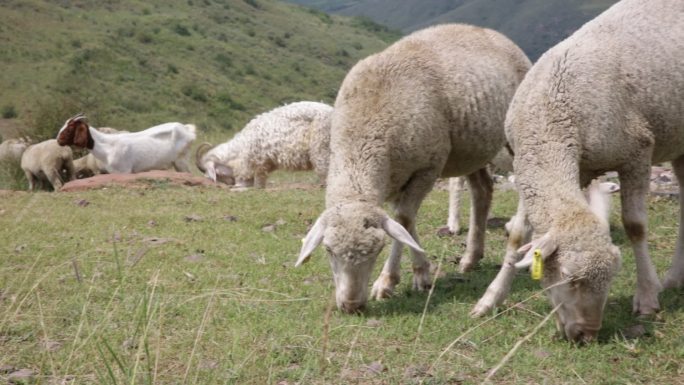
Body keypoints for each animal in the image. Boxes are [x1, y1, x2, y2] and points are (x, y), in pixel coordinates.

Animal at [195, 100, 334, 188]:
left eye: (217, 174)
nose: (230, 184)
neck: (240, 147)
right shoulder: (265, 163)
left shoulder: (255, 163)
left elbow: (253, 182)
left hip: (321, 145)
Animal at [296, 23, 532, 312]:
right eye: (329, 250)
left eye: (377, 250)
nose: (351, 305)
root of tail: (489, 31)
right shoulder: (395, 177)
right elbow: (402, 222)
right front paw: (422, 272)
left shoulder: (427, 168)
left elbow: (404, 219)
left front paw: (389, 279)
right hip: (472, 147)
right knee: (482, 191)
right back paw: (470, 258)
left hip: (511, 136)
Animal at [470, 0, 684, 342]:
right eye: (569, 277)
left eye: (612, 277)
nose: (588, 335)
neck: (552, 117)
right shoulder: (534, 170)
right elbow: (517, 235)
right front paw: (490, 299)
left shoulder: (638, 152)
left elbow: (635, 226)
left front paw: (647, 298)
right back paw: (676, 278)